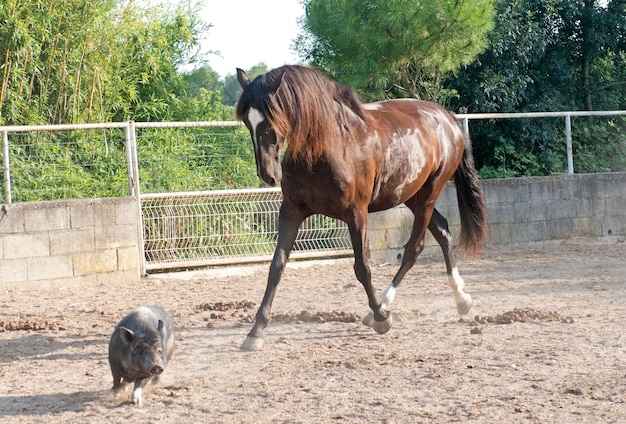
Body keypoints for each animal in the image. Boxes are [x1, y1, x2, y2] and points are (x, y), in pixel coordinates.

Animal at [236, 65, 486, 352]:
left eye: (271, 120)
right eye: (248, 122)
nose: (268, 174)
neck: (327, 147)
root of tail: (448, 119)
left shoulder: (356, 214)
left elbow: (362, 267)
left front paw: (381, 317)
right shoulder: (291, 211)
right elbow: (276, 266)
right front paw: (255, 331)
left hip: (428, 196)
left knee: (413, 250)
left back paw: (383, 308)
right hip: (412, 196)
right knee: (443, 232)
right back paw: (462, 299)